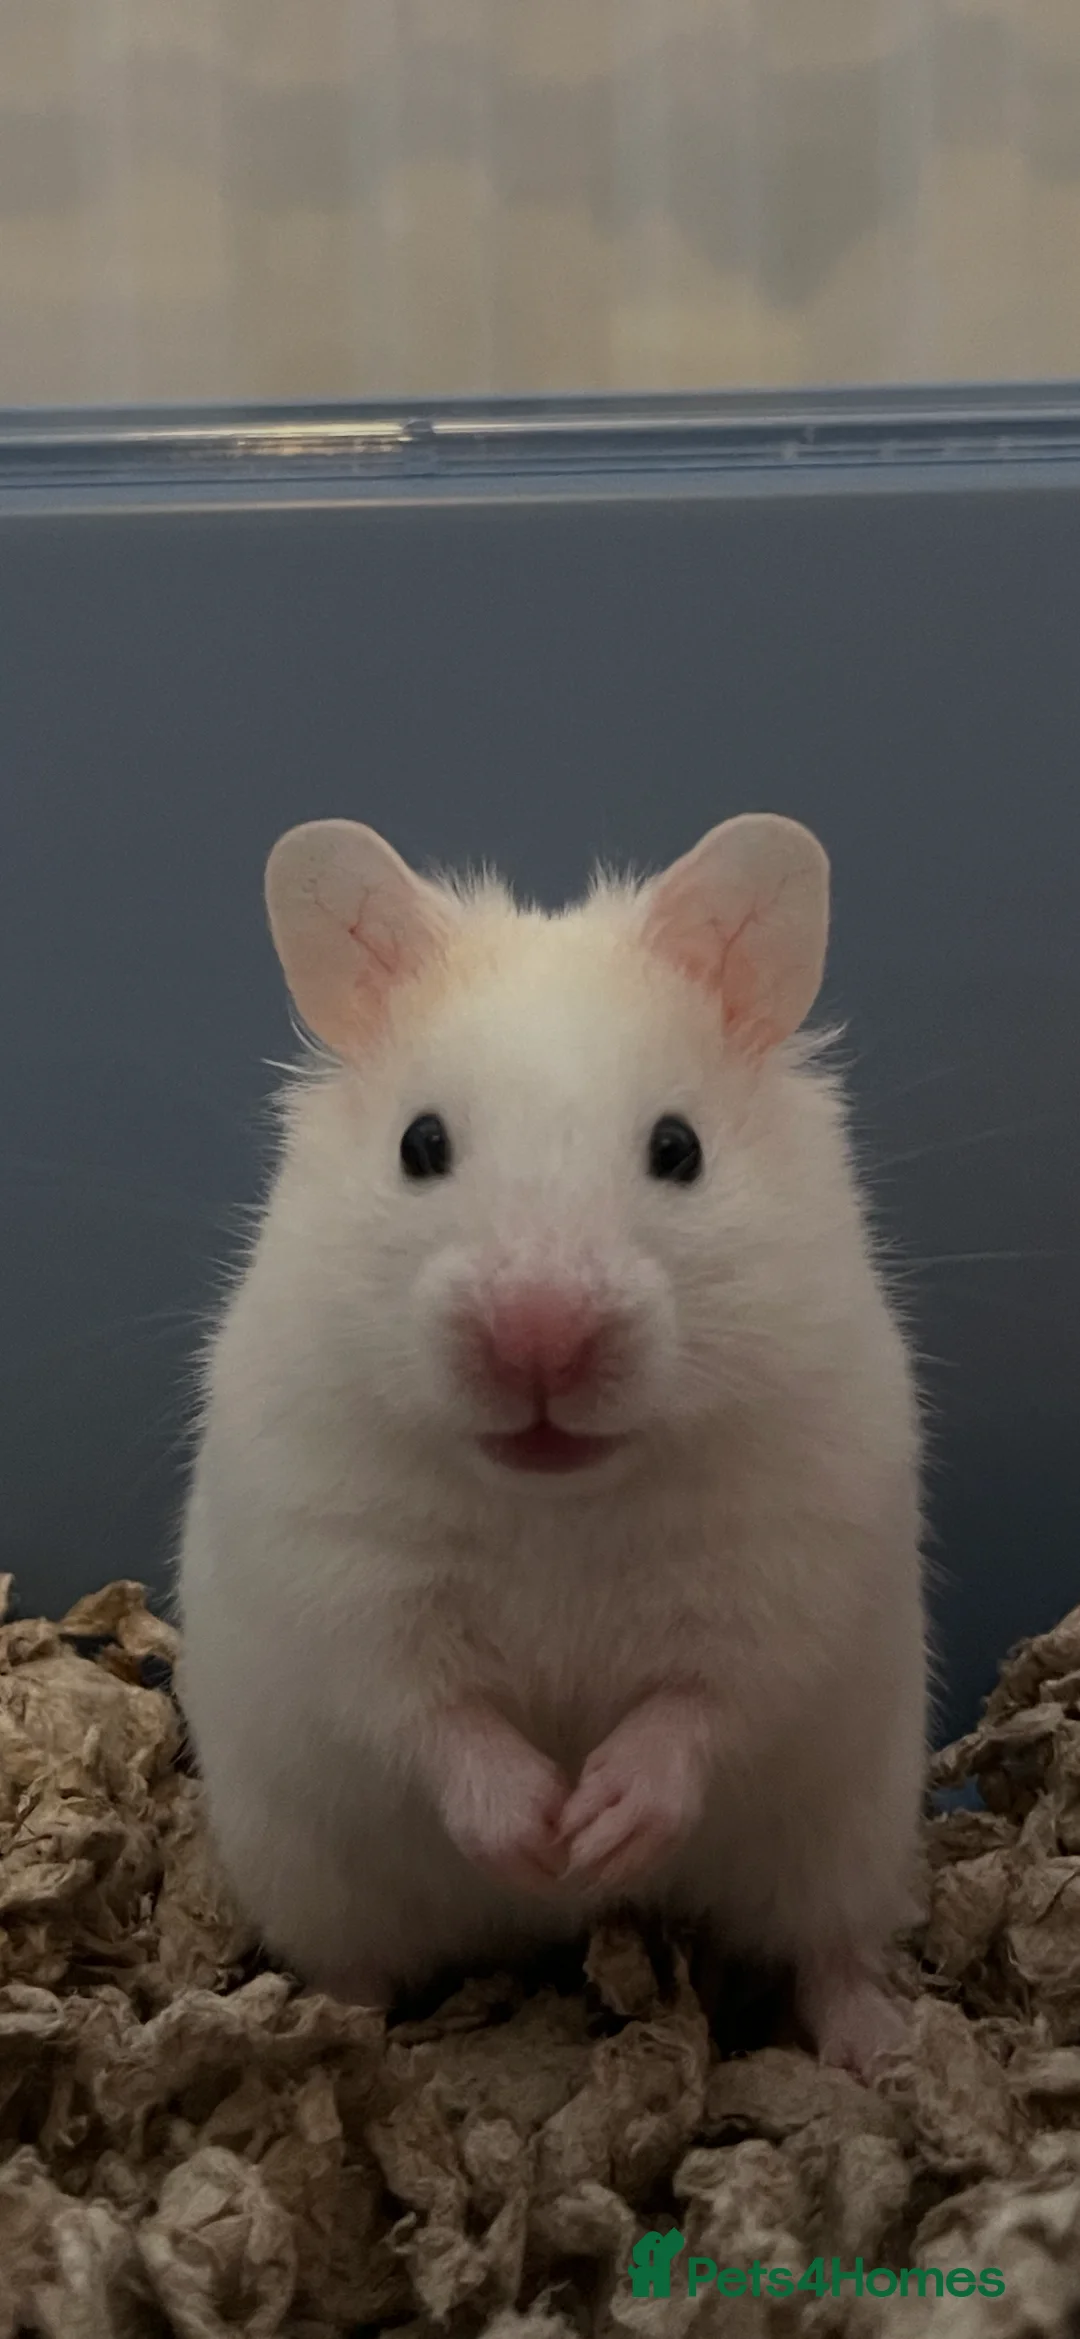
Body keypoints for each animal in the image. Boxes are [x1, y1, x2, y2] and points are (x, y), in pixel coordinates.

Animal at [176, 811, 928, 2077]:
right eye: (421, 1143)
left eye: (678, 1147)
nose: (540, 1338)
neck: (556, 1502)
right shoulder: (336, 1566)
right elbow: (425, 1710)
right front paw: (538, 1833)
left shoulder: (791, 1555)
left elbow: (706, 1700)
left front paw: (601, 1826)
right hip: (308, 1873)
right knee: (356, 1964)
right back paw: (340, 2032)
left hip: (855, 1834)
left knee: (830, 1952)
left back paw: (885, 2050)